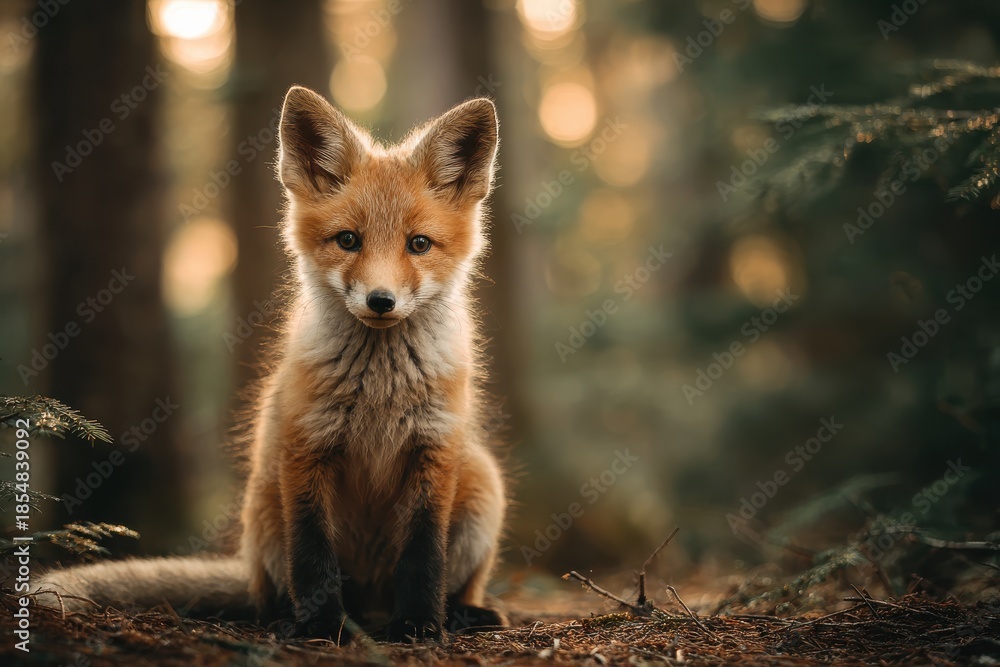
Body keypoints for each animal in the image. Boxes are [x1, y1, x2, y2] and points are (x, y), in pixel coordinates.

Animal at [33, 85, 508, 643]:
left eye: (419, 244)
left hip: (483, 484)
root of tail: (371, 597)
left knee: (449, 581)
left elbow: (423, 554)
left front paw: (417, 624)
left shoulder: (434, 452)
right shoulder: (304, 448)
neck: (380, 393)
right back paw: (293, 616)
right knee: (271, 594)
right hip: (263, 507)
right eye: (348, 240)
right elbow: (312, 556)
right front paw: (322, 627)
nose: (381, 301)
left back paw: (461, 613)